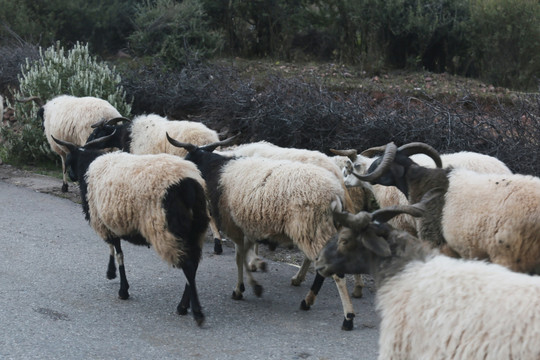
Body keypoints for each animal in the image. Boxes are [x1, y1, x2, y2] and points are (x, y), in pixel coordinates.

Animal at [50, 133, 210, 326]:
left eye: (69, 159)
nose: (71, 176)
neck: (87, 165)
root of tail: (189, 184)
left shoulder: (103, 220)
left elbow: (118, 252)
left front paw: (121, 287)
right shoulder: (111, 221)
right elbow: (114, 249)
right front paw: (112, 275)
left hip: (168, 229)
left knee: (188, 265)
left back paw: (194, 312)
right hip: (197, 229)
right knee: (193, 265)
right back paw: (185, 306)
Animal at [165, 134, 358, 330]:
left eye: (188, 160)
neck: (216, 171)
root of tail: (336, 194)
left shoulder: (234, 226)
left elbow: (238, 257)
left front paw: (242, 288)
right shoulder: (248, 226)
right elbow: (243, 254)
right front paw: (252, 278)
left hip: (312, 229)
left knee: (335, 273)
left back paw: (347, 317)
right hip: (322, 229)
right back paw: (308, 299)